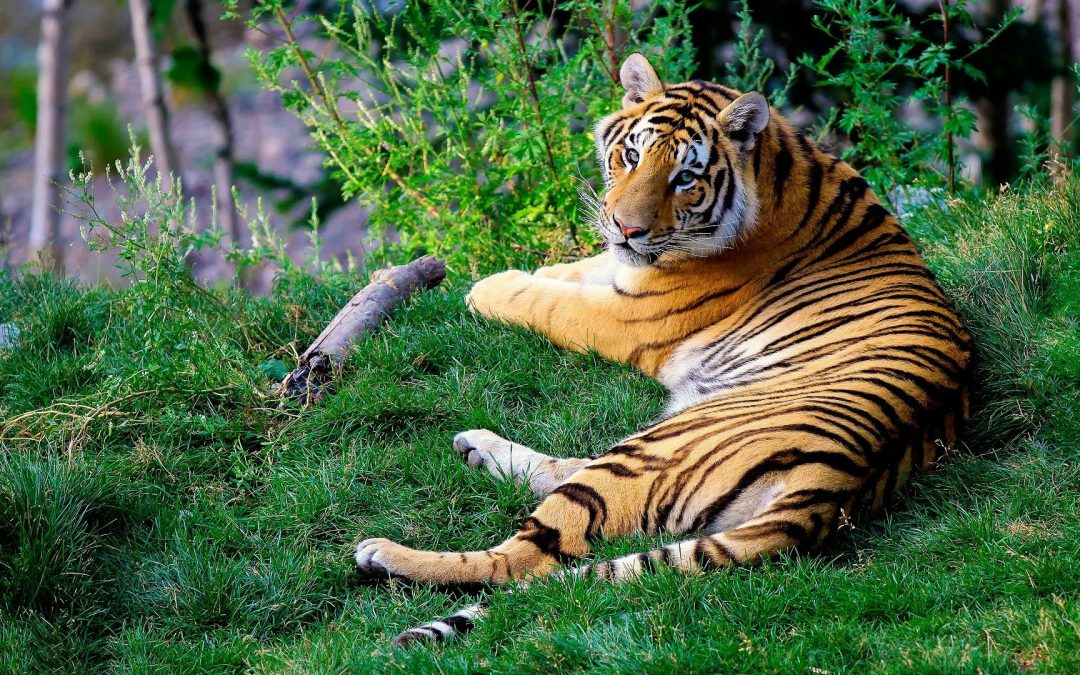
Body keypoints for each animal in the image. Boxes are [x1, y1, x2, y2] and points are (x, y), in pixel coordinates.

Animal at [354, 53, 974, 646]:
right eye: (630, 156)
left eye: (685, 178)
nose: (626, 228)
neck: (780, 171)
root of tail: (835, 487)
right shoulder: (624, 272)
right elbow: (578, 270)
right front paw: (538, 269)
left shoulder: (629, 315)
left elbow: (550, 302)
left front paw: (489, 287)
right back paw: (476, 448)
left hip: (656, 447)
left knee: (525, 558)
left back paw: (385, 553)